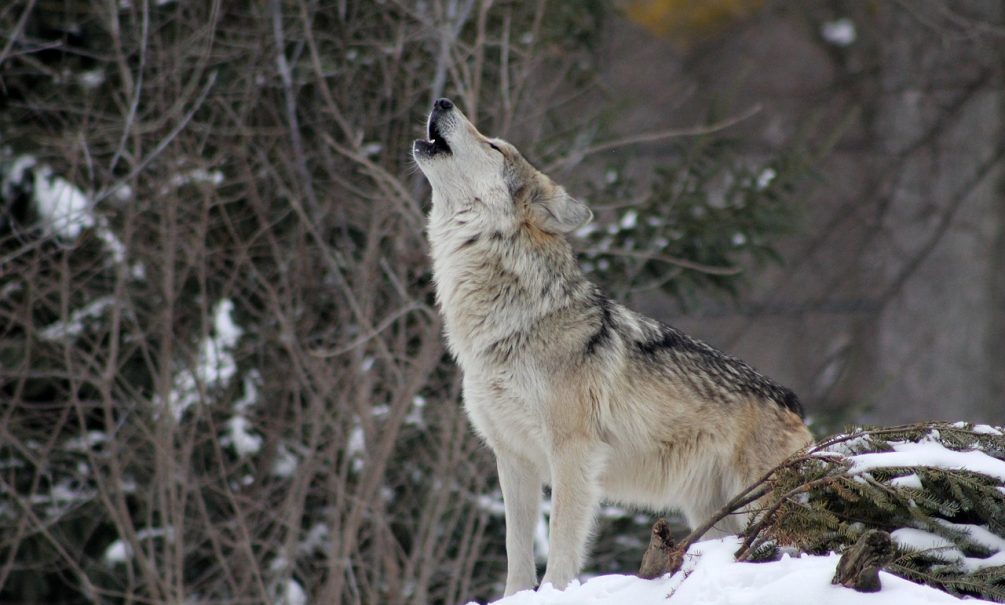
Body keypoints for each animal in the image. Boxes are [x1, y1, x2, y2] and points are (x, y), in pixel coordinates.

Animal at [412, 98, 812, 594]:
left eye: (494, 146)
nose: (442, 101)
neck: (512, 322)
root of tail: (793, 402)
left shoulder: (573, 453)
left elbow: (561, 544)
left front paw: (554, 594)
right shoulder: (513, 458)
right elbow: (516, 552)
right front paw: (517, 597)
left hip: (756, 503)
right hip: (712, 514)